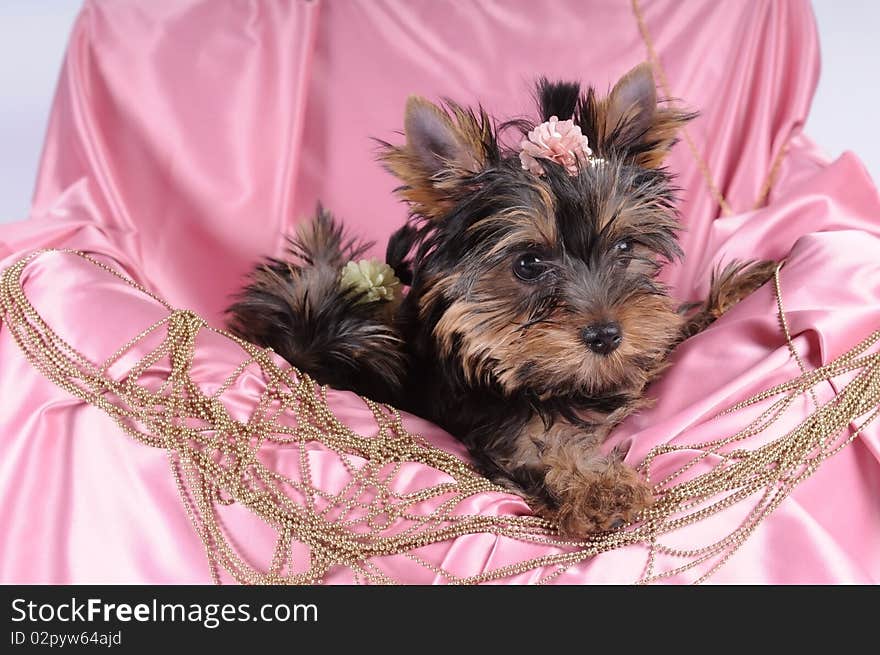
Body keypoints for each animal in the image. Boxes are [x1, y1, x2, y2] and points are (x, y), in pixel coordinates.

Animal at [229, 64, 776, 540]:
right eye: (528, 264)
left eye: (624, 247)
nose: (606, 335)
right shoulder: (501, 430)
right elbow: (543, 450)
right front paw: (597, 489)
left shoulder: (642, 333)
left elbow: (663, 329)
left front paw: (737, 292)